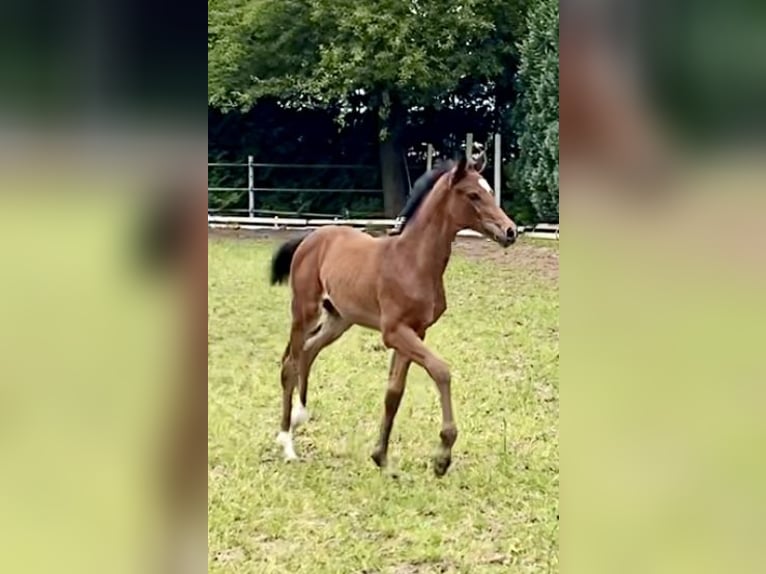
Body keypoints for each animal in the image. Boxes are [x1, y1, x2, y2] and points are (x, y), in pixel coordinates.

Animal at [270, 154, 516, 476]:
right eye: (473, 195)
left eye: (490, 191)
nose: (510, 231)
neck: (412, 261)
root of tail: (310, 238)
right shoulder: (395, 332)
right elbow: (441, 371)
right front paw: (442, 456)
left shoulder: (416, 331)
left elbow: (394, 392)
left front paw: (381, 457)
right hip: (304, 311)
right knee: (290, 363)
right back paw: (287, 444)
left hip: (339, 319)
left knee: (308, 352)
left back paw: (300, 416)